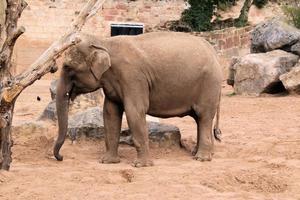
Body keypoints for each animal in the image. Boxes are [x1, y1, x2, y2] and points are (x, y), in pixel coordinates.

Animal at [54, 31, 223, 167]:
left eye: (67, 67)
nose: (61, 157)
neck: (104, 42)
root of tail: (215, 53)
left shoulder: (133, 77)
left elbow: (134, 111)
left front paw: (141, 165)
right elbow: (110, 113)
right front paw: (107, 162)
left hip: (209, 85)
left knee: (204, 116)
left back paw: (201, 158)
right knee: (199, 119)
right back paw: (202, 154)